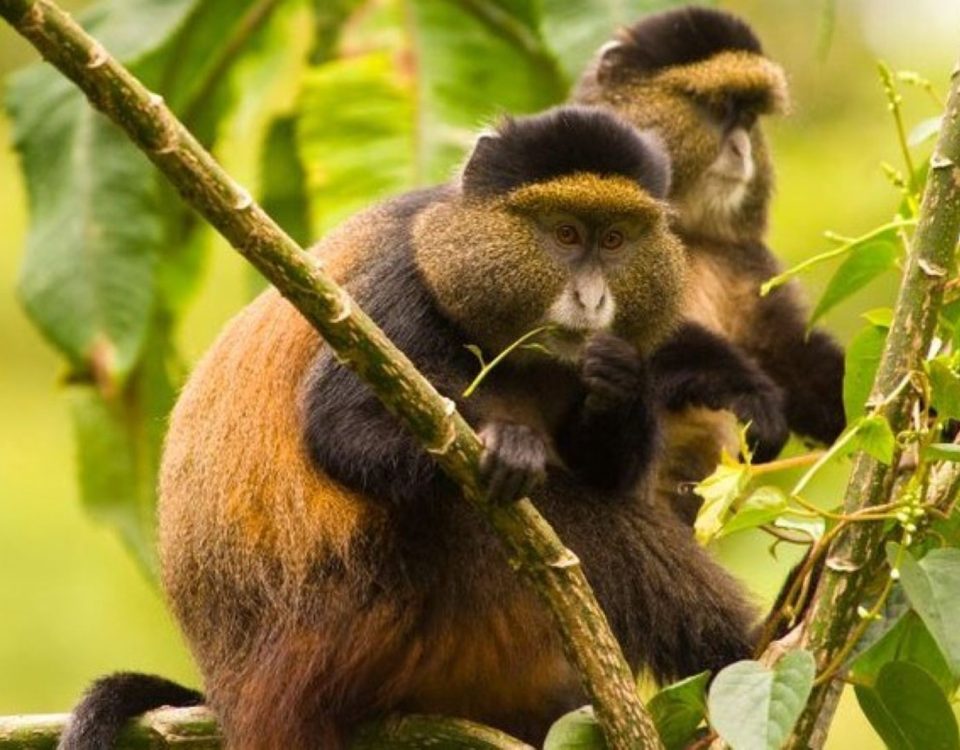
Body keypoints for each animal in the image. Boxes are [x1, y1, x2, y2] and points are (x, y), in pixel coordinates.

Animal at [58, 106, 761, 750]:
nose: (591, 300)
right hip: (361, 619)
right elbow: (340, 427)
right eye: (564, 234)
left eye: (614, 240)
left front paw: (620, 381)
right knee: (553, 517)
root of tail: (230, 688)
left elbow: (609, 464)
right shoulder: (400, 287)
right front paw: (512, 447)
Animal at [574, 6, 847, 523]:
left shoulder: (743, 258)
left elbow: (786, 347)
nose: (741, 149)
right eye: (719, 109)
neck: (684, 229)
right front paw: (747, 391)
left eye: (749, 116)